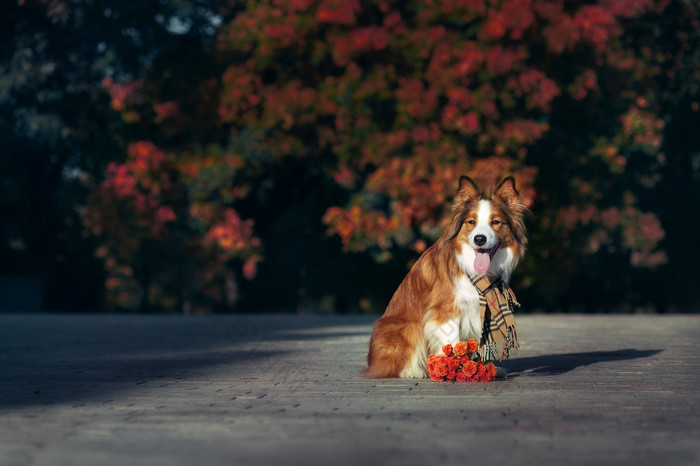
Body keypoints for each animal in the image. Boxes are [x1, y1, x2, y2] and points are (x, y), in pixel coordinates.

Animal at [366, 177, 524, 376]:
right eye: (471, 222)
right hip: (403, 326)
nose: (479, 239)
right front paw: (458, 371)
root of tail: (371, 362)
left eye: (495, 222)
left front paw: (485, 368)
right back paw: (413, 371)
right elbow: (454, 344)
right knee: (388, 367)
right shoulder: (446, 311)